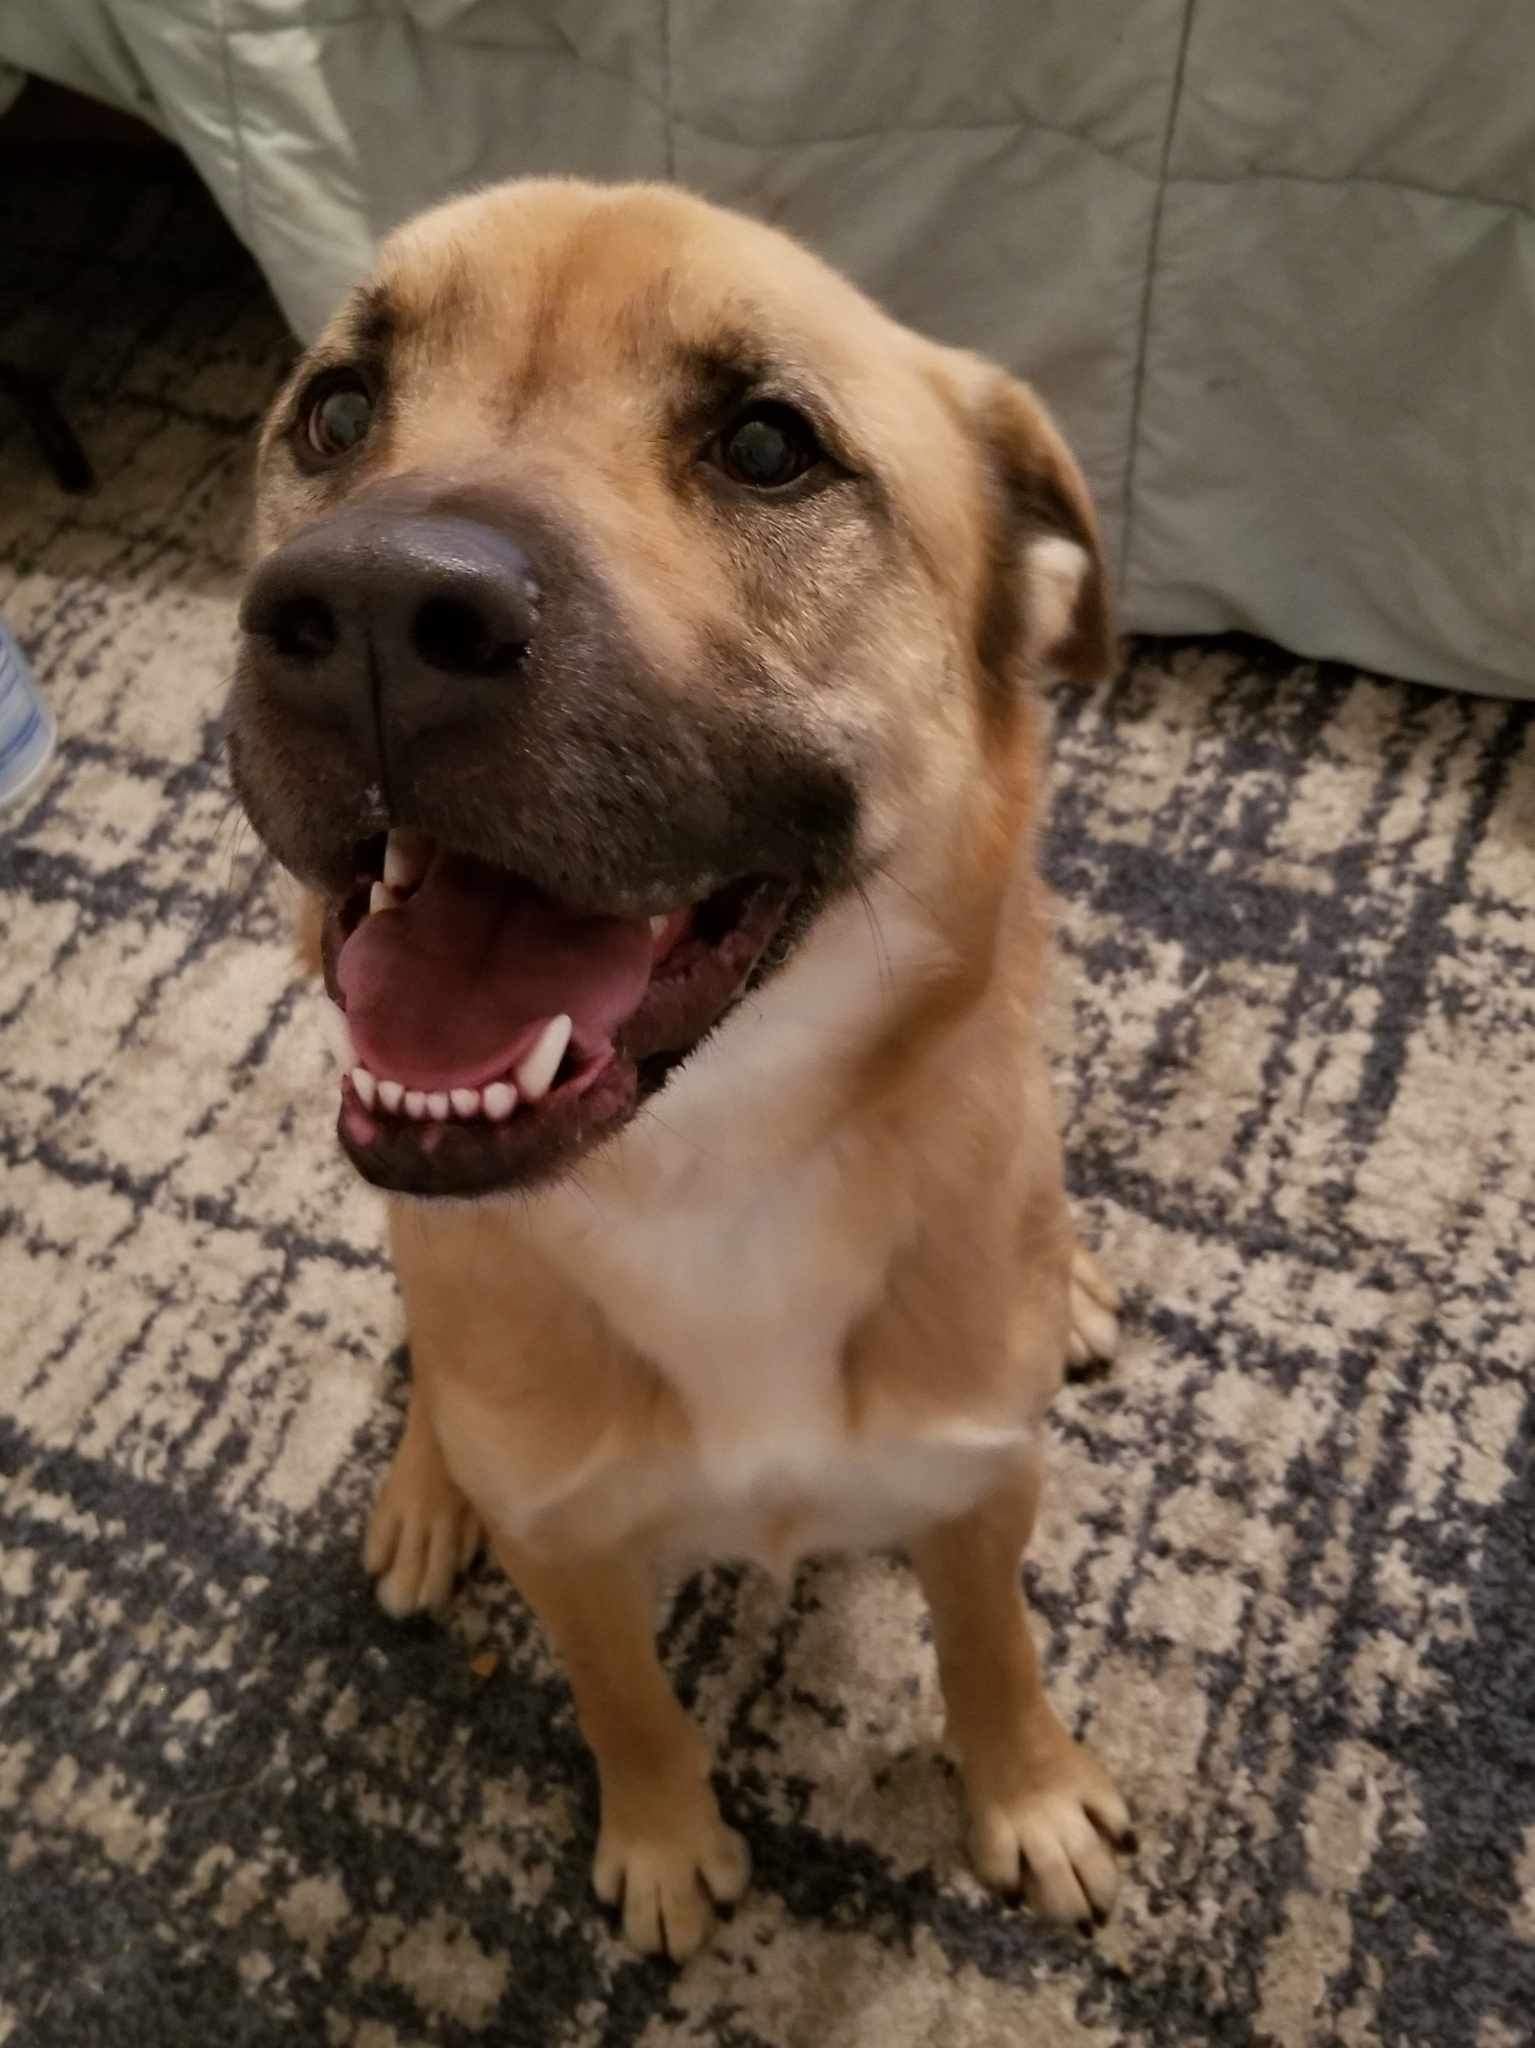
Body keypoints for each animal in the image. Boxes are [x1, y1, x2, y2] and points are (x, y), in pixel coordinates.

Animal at [231, 184, 1146, 1957]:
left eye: (769, 446)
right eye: (338, 411)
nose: (366, 614)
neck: (713, 1171)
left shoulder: (971, 1486)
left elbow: (989, 1646)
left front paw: (1028, 1794)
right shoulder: (572, 1550)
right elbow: (624, 1701)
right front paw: (664, 1843)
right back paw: (424, 1491)